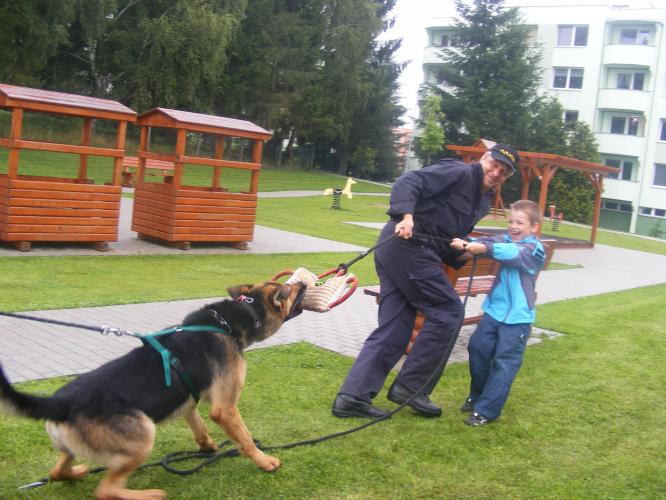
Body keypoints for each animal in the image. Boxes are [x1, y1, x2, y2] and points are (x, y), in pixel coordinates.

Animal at [0, 282, 304, 500]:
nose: (302, 281)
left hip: (74, 446)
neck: (235, 318)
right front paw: (264, 461)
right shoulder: (225, 409)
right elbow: (246, 438)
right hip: (144, 434)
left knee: (57, 471)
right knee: (105, 491)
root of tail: (59, 402)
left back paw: (77, 472)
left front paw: (206, 446)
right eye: (288, 289)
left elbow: (197, 423)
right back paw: (149, 494)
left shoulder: (190, 399)